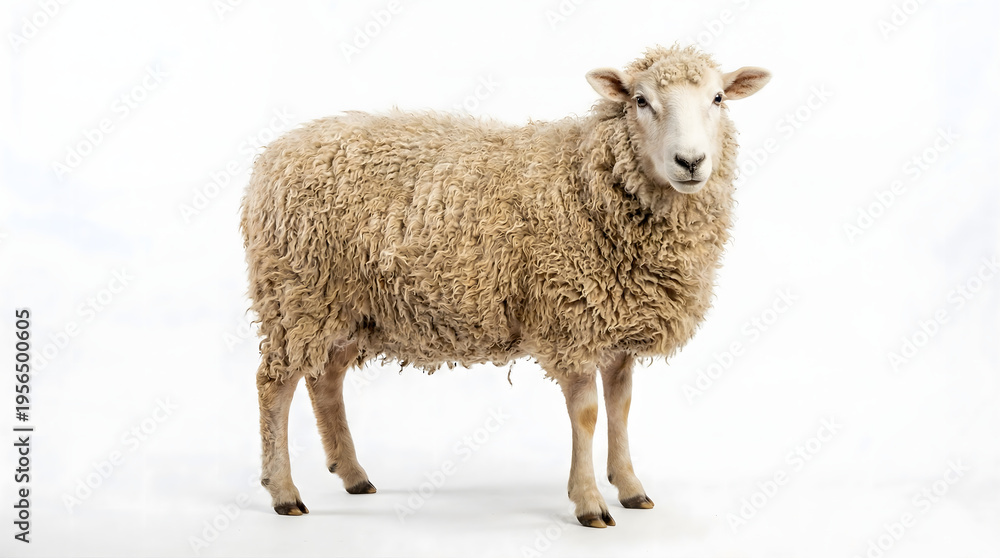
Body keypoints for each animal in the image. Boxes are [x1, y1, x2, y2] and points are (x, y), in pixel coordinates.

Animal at [241, 45, 770, 528]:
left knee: (325, 380)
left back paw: (352, 474)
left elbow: (621, 407)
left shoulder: (615, 322)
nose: (690, 161)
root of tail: (276, 153)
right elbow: (587, 414)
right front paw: (589, 502)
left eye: (718, 98)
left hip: (347, 305)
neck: (586, 179)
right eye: (641, 100)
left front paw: (631, 488)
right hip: (296, 293)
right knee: (274, 385)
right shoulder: (570, 318)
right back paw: (284, 492)